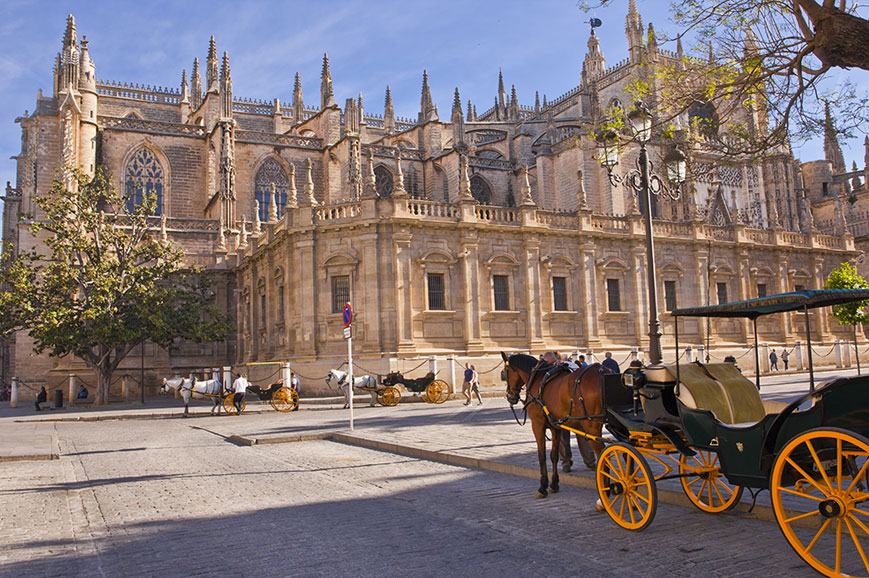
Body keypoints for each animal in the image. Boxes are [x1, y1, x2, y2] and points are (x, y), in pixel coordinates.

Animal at [498, 348, 608, 498]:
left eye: (505, 371)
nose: (510, 397)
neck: (537, 378)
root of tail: (603, 371)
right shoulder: (556, 427)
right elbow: (554, 456)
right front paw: (554, 484)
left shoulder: (537, 425)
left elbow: (542, 455)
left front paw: (542, 486)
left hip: (591, 426)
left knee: (604, 454)